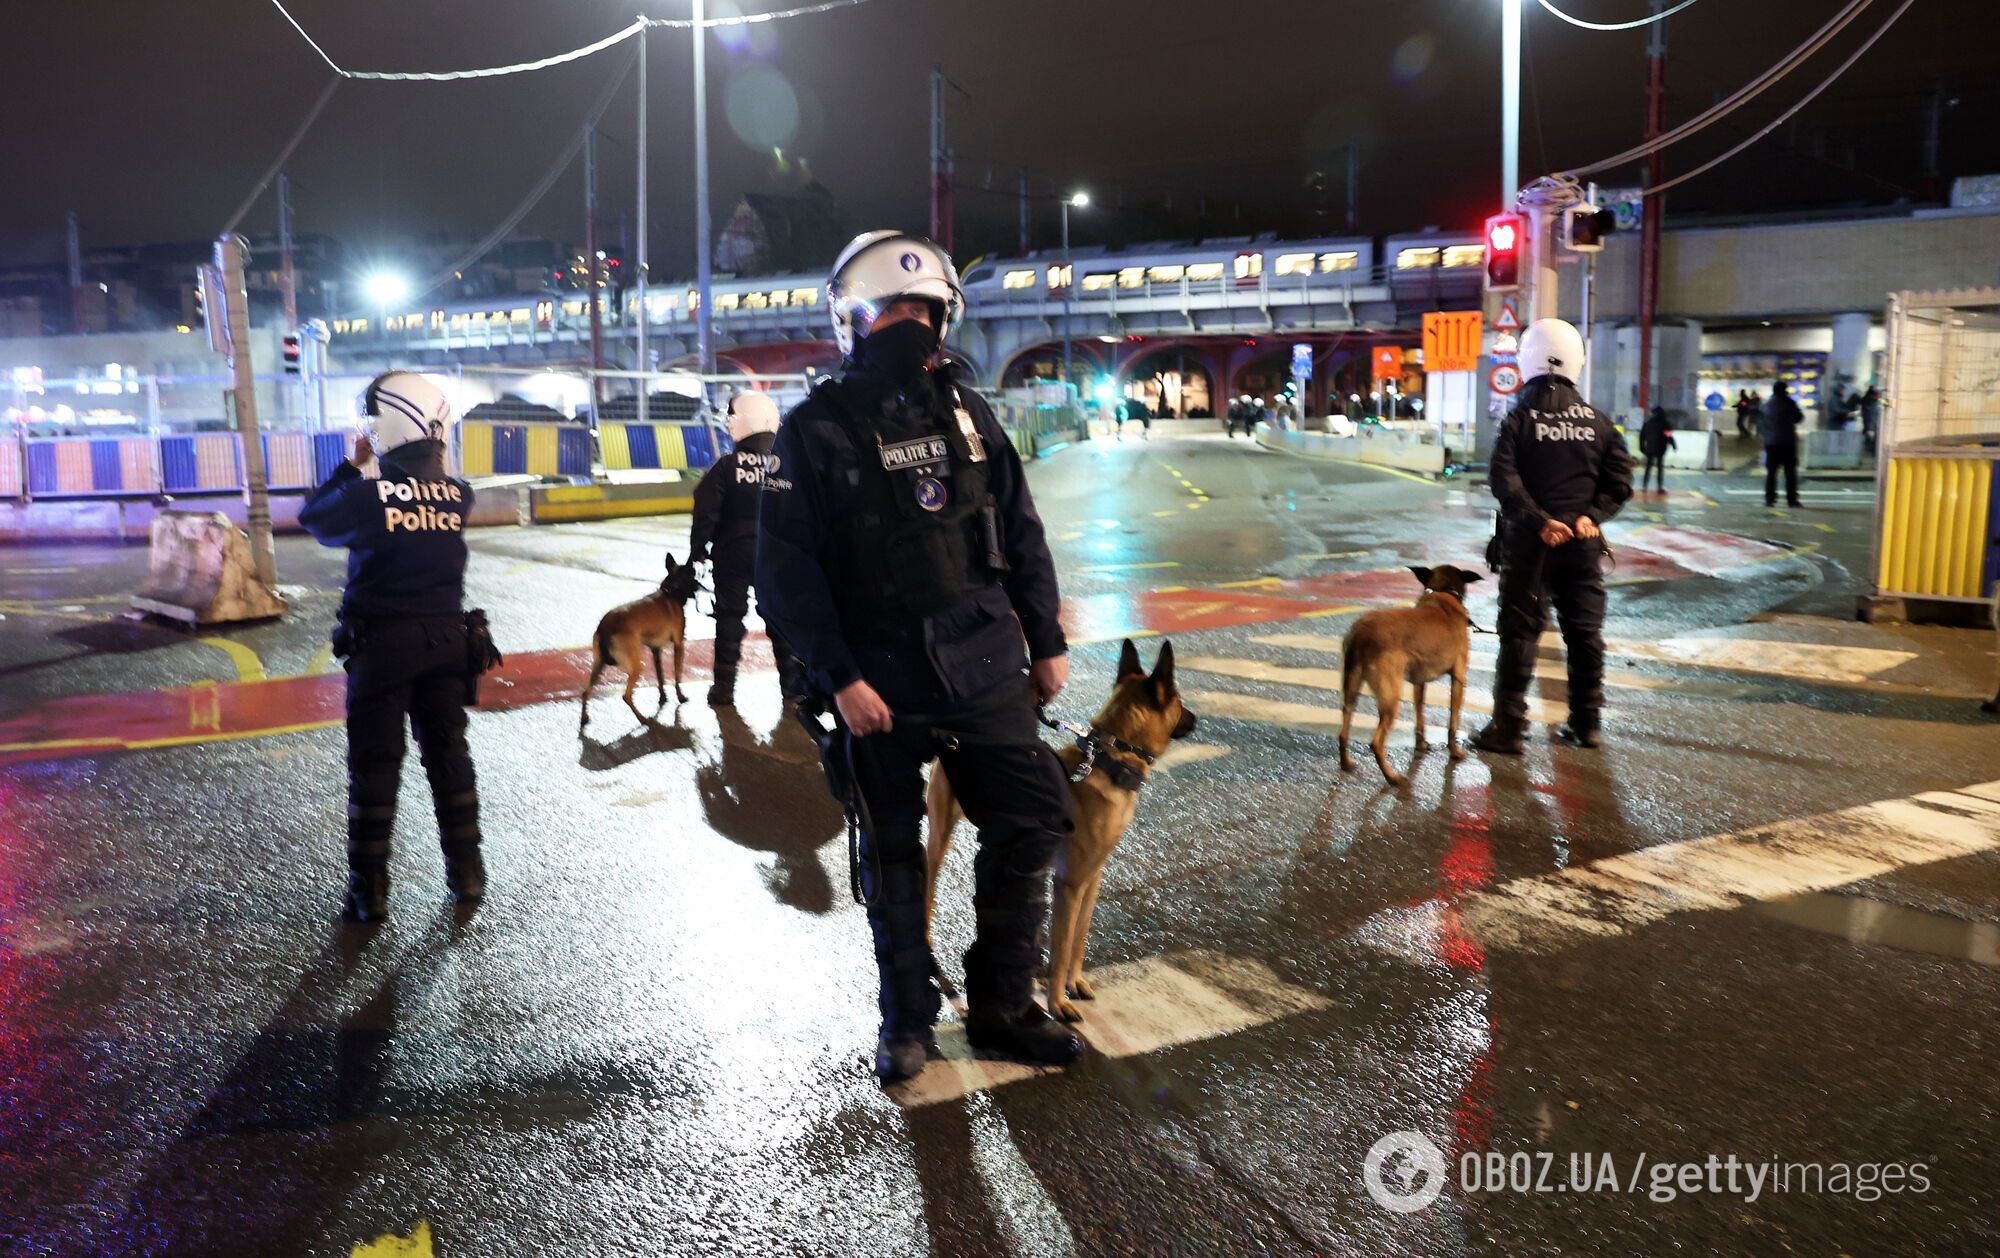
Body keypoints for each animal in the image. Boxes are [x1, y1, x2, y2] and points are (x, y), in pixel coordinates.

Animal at [584, 552, 700, 728]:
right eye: (693, 575)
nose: (700, 586)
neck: (671, 591)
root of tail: (605, 626)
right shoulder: (679, 645)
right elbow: (677, 674)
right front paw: (680, 697)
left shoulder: (655, 650)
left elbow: (660, 677)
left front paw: (663, 698)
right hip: (636, 666)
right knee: (626, 696)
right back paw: (642, 719)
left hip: (599, 664)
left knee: (586, 691)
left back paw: (584, 718)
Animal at [924, 636, 1192, 1020]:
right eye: (1179, 701)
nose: (1196, 719)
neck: (1109, 762)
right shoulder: (1070, 882)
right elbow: (1063, 945)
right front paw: (1058, 1003)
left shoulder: (1091, 879)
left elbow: (1079, 938)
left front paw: (1073, 983)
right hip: (939, 840)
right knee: (925, 892)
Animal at [1344, 564, 1488, 780]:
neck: (1443, 591)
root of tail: (1362, 631)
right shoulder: (1459, 679)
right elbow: (1453, 722)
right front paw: (1454, 752)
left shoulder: (1419, 683)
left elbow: (1419, 714)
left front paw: (1421, 744)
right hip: (1390, 697)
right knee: (1376, 742)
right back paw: (1392, 778)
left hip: (1352, 687)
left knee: (1344, 728)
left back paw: (1345, 762)